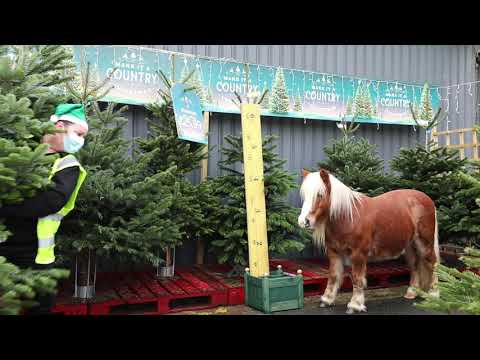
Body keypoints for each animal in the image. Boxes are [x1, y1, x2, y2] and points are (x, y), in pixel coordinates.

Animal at [298, 169, 440, 312]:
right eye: (304, 195)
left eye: (320, 195)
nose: (304, 221)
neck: (348, 218)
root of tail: (427, 199)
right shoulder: (334, 253)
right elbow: (333, 276)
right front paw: (327, 300)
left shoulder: (358, 254)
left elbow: (357, 278)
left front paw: (355, 305)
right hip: (410, 245)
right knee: (415, 265)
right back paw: (411, 292)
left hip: (425, 243)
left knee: (432, 263)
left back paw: (434, 293)